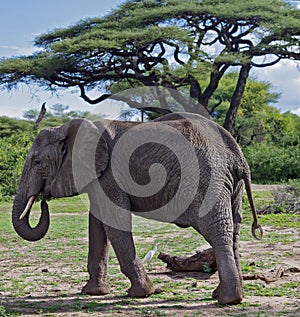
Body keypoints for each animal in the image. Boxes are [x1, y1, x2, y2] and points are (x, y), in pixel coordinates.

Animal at [11, 111, 262, 304]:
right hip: (232, 184)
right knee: (234, 231)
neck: (70, 127)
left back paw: (228, 299)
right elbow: (98, 224)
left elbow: (114, 221)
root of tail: (237, 155)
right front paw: (92, 292)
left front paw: (141, 293)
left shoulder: (109, 175)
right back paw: (223, 295)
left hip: (206, 178)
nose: (43, 200)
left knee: (216, 229)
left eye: (37, 162)